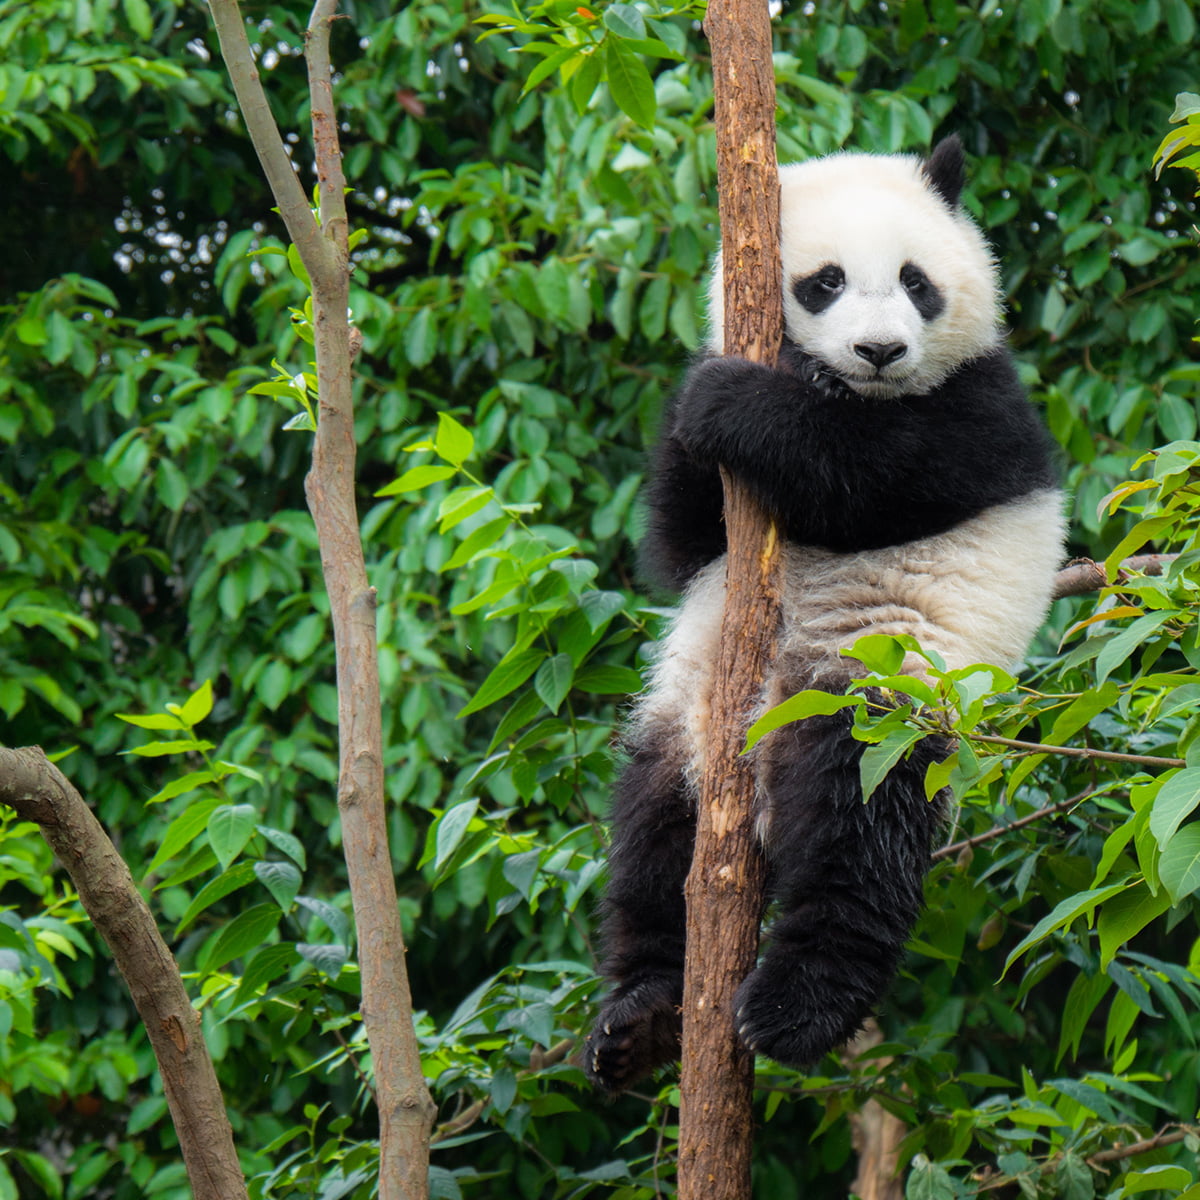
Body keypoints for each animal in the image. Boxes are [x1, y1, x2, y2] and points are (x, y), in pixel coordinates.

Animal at [583, 135, 1066, 1093]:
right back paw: (643, 1015)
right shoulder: (702, 544)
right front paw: (708, 394)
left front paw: (733, 404)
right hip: (686, 722)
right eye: (824, 282)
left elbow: (871, 478)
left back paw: (795, 1010)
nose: (878, 350)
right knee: (652, 837)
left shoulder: (984, 410)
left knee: (859, 830)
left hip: (881, 690)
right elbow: (679, 542)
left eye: (917, 281)